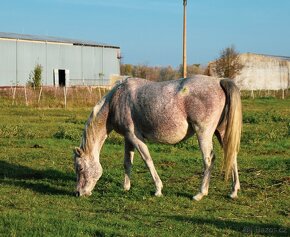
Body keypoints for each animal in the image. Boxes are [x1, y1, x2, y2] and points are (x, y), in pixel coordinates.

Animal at [73, 75, 242, 201]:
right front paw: (126, 187)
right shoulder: (128, 139)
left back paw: (200, 193)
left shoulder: (136, 138)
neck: (117, 99)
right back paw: (234, 191)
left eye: (80, 168)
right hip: (221, 133)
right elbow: (127, 163)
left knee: (208, 160)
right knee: (232, 155)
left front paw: (158, 189)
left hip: (204, 133)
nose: (78, 193)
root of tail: (219, 81)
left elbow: (148, 161)